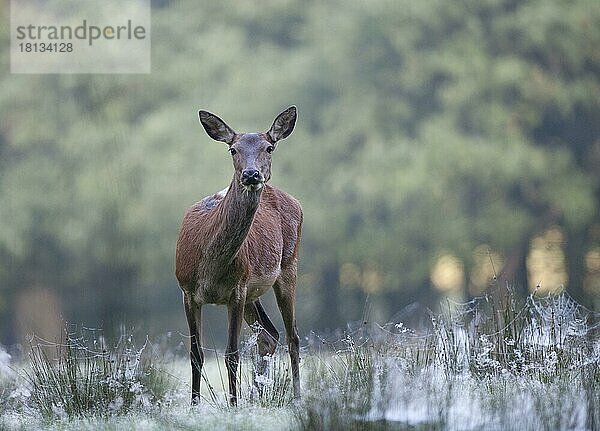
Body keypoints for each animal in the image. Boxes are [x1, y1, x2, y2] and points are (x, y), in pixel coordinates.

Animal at [176, 106, 302, 406]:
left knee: (292, 337)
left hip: (288, 267)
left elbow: (231, 355)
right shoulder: (187, 291)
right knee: (269, 334)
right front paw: (194, 406)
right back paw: (257, 394)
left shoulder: (236, 290)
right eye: (232, 149)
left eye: (270, 147)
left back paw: (296, 397)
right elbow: (195, 354)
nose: (252, 174)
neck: (209, 267)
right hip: (253, 292)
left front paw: (234, 405)